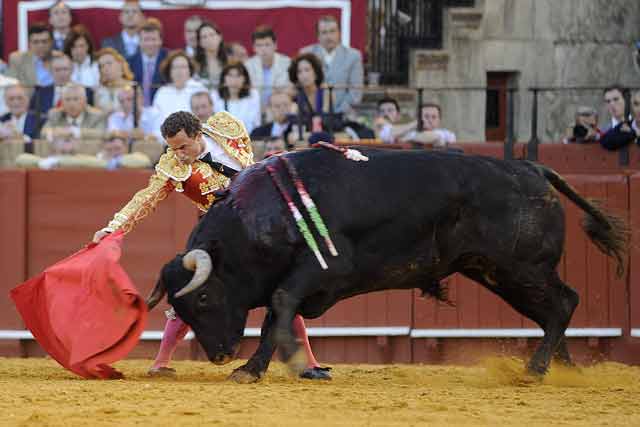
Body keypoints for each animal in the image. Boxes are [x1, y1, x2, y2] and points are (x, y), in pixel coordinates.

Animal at [144, 149, 624, 382]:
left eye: (204, 298)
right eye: (183, 308)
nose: (220, 355)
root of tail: (533, 168)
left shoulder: (321, 270)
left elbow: (278, 308)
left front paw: (253, 368)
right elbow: (276, 317)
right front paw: (266, 366)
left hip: (521, 268)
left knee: (563, 303)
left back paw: (537, 370)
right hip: (495, 271)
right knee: (553, 311)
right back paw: (563, 370)